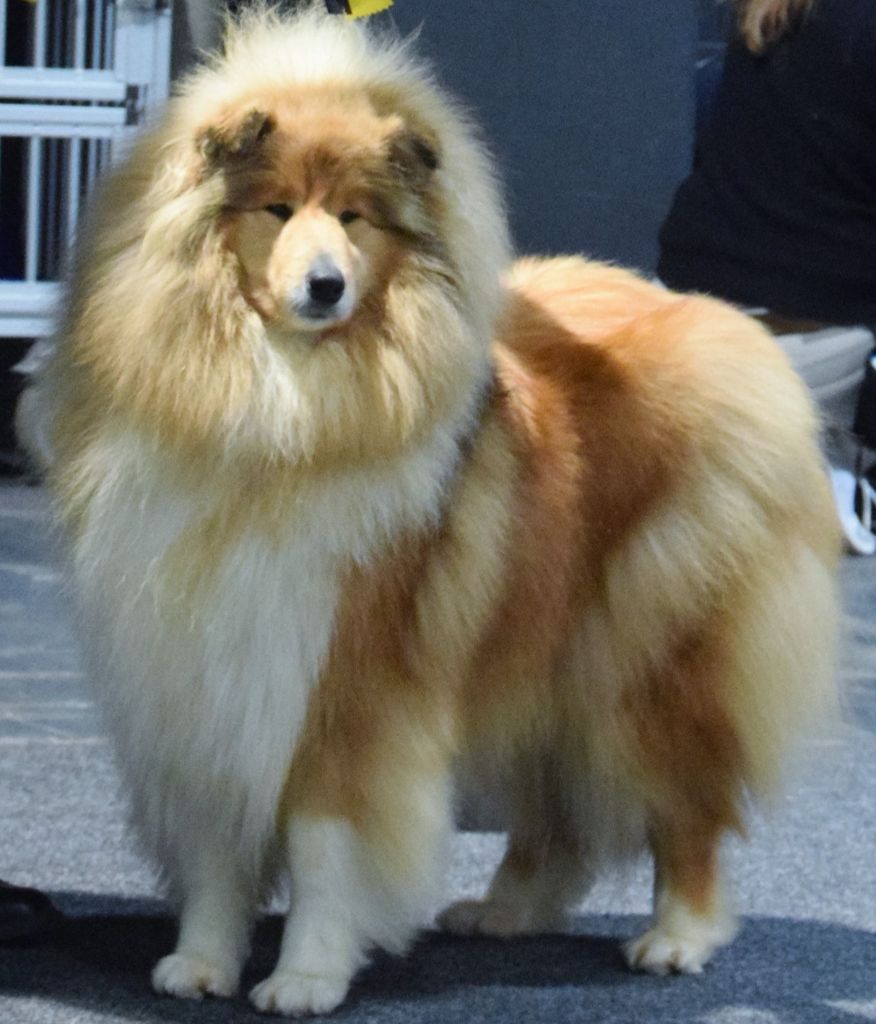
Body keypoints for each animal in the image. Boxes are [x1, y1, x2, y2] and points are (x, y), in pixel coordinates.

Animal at [22, 6, 844, 1015]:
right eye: (276, 208)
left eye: (354, 217)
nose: (326, 286)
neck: (278, 399)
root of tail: (725, 323)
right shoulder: (201, 683)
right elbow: (219, 851)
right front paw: (202, 965)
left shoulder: (345, 686)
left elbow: (326, 847)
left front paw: (305, 977)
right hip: (542, 660)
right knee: (556, 816)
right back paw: (502, 912)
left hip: (646, 659)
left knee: (686, 806)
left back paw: (676, 939)